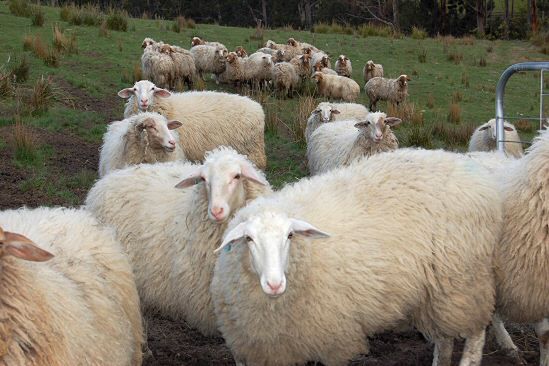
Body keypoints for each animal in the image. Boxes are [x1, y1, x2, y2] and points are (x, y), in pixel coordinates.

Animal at [118, 80, 268, 169]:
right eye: (135, 89)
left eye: (153, 89)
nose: (143, 101)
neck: (168, 106)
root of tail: (258, 108)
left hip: (252, 153)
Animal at [210, 148, 500, 366]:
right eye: (249, 239)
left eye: (290, 236)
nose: (274, 284)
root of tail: (466, 165)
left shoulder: (331, 335)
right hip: (436, 291)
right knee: (444, 336)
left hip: (463, 280)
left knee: (475, 332)